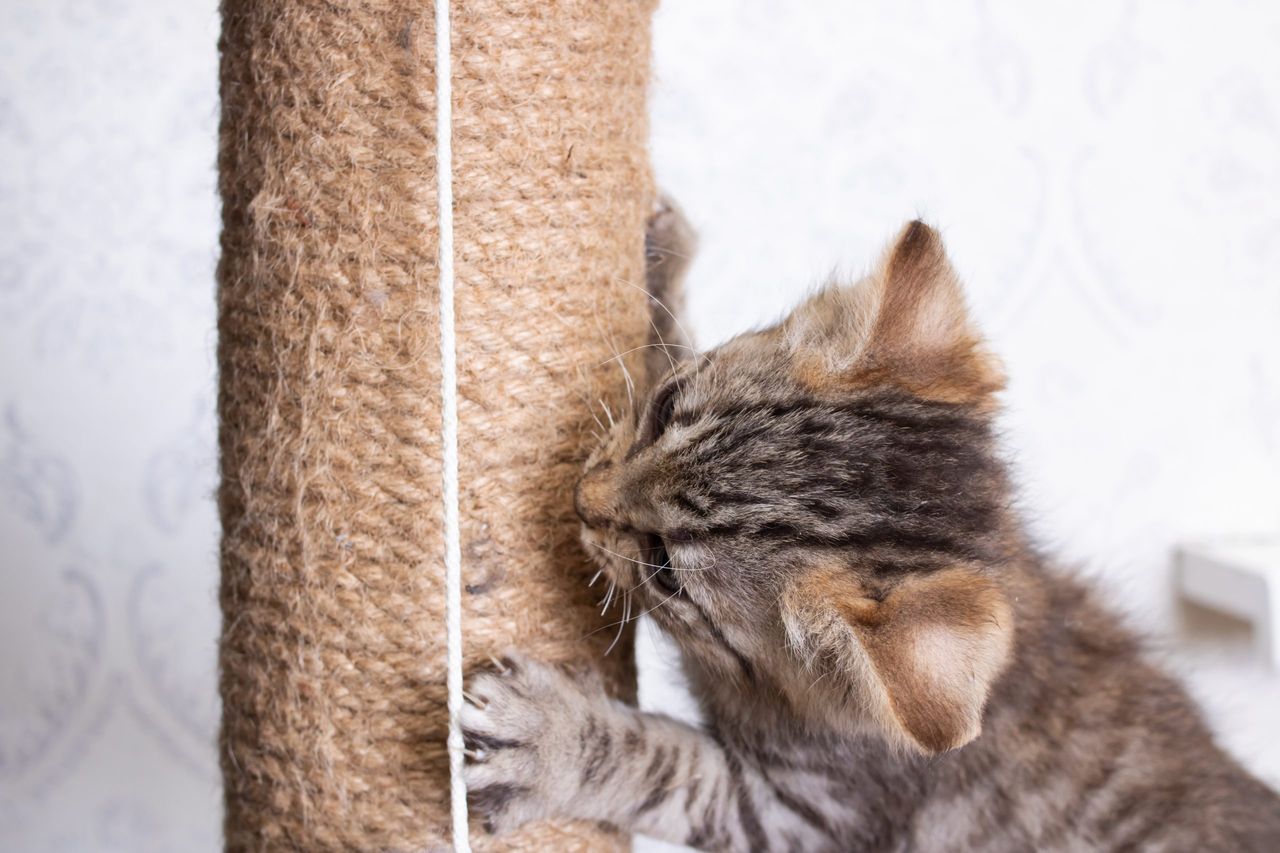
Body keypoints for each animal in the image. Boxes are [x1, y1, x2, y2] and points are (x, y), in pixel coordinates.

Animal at [463, 201, 1280, 850]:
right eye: (664, 409)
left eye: (665, 569)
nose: (581, 498)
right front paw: (663, 267)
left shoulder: (808, 812)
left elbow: (664, 766)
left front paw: (549, 741)